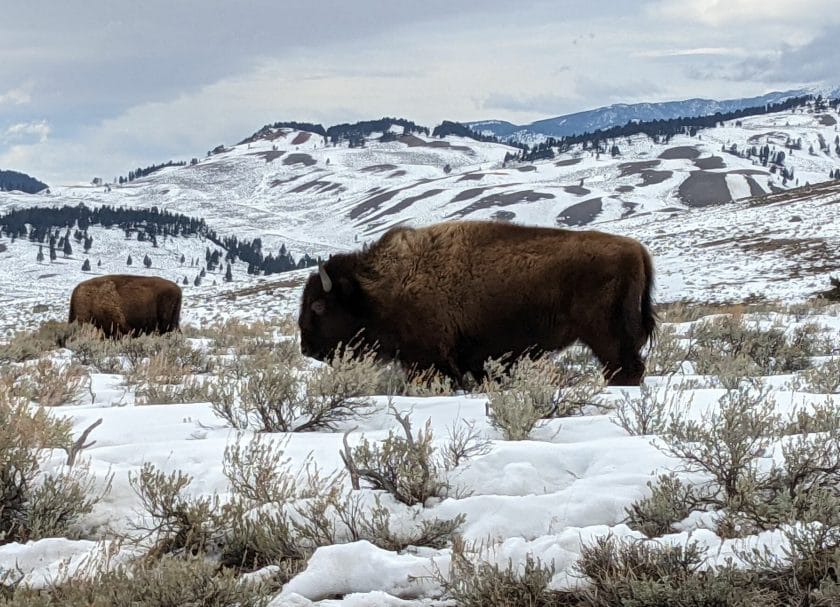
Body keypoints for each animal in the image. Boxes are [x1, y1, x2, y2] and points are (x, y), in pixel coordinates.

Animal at [298, 221, 660, 388]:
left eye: (319, 307)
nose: (306, 348)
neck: (376, 287)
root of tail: (637, 249)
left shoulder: (430, 359)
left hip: (607, 336)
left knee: (624, 369)